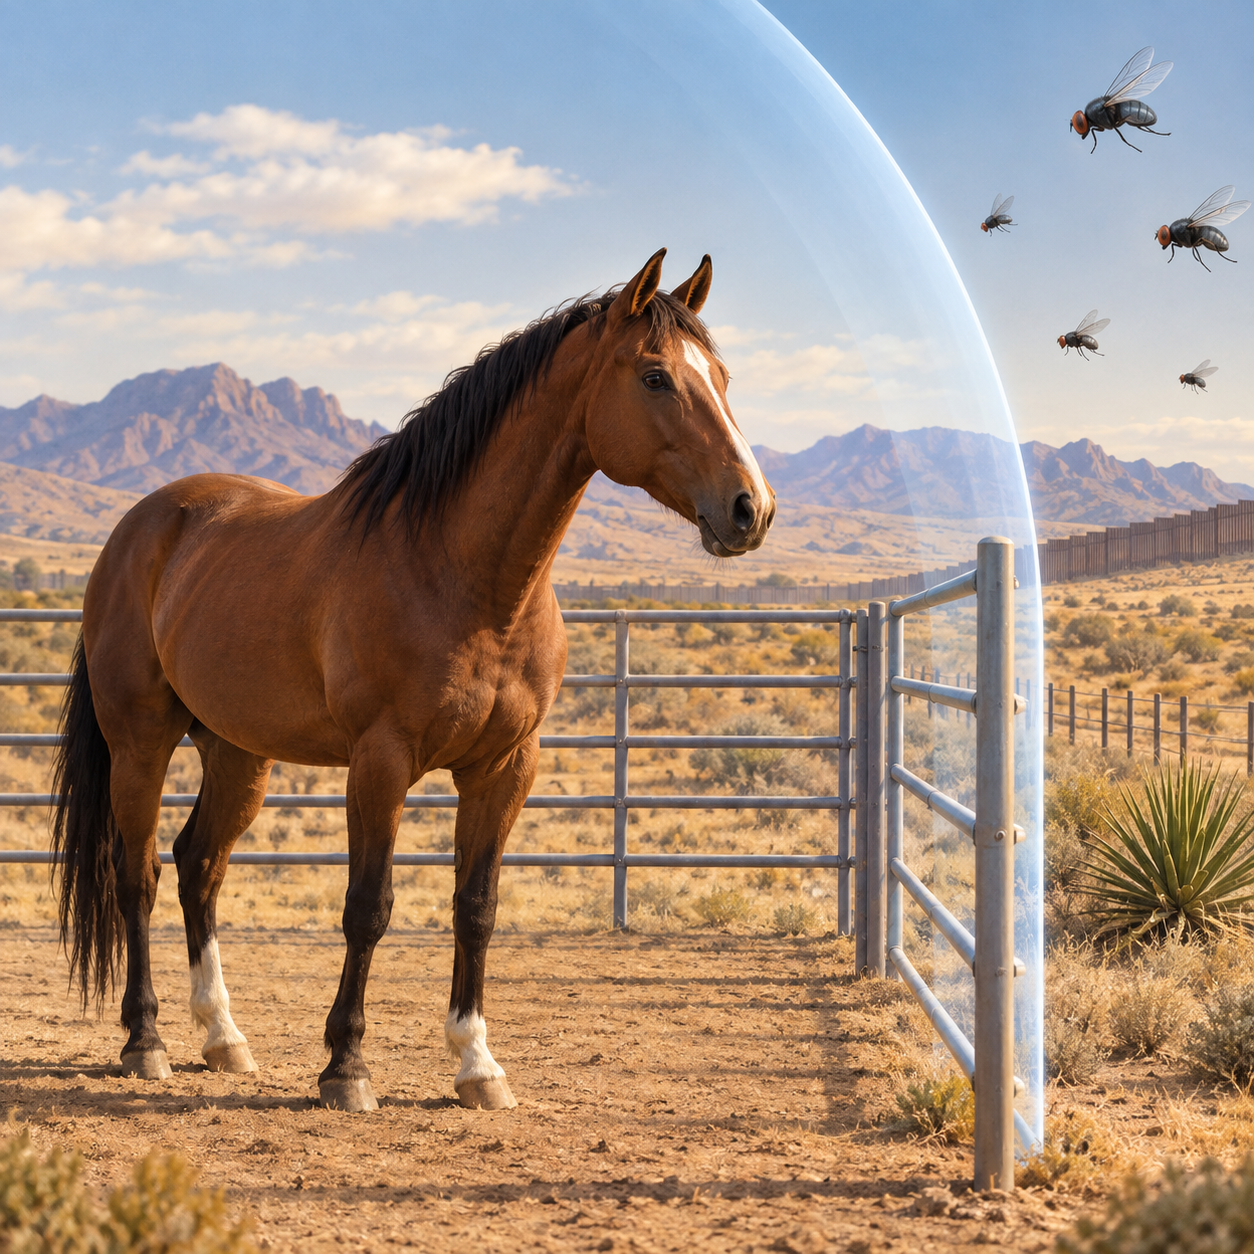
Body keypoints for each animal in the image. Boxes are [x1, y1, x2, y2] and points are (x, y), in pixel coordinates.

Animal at [51, 248, 775, 1112]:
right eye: (657, 377)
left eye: (723, 376)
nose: (751, 508)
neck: (465, 579)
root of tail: (142, 526)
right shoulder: (381, 761)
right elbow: (369, 908)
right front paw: (346, 1067)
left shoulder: (505, 768)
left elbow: (477, 909)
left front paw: (478, 1064)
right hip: (142, 743)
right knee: (139, 876)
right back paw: (146, 1041)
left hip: (236, 751)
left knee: (200, 867)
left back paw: (224, 1037)